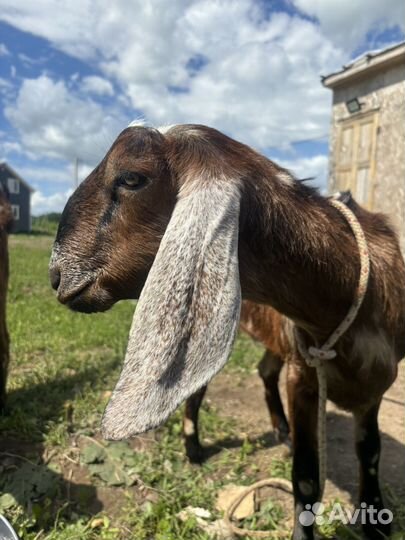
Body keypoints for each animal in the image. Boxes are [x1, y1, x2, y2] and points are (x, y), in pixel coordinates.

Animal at [50, 124, 404, 536]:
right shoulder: (303, 374)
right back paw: (194, 448)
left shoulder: (374, 386)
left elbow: (371, 452)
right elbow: (306, 479)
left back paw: (279, 430)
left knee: (263, 371)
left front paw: (376, 518)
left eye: (131, 178)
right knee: (198, 393)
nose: (56, 276)